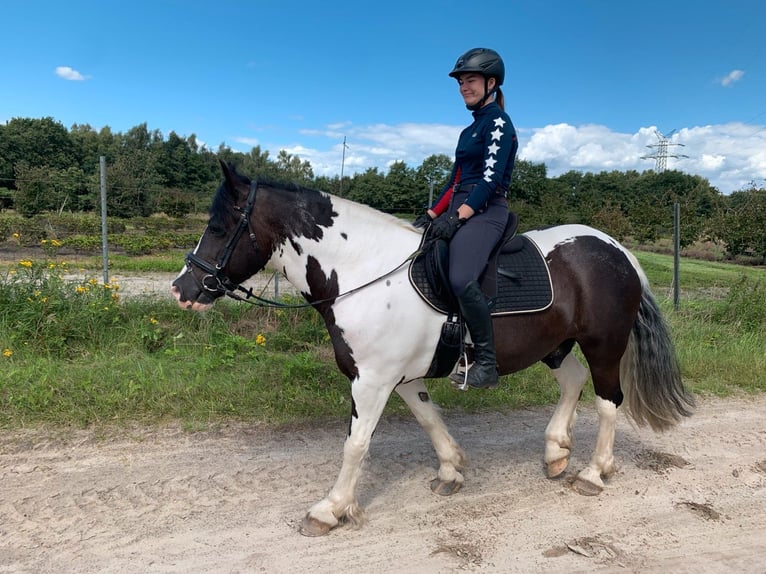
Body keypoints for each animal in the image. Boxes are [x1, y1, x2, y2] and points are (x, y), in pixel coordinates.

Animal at [172, 163, 696, 540]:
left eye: (218, 226)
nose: (182, 289)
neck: (367, 273)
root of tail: (617, 250)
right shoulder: (400, 377)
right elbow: (428, 419)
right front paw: (451, 469)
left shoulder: (372, 381)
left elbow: (355, 444)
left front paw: (330, 509)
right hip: (555, 346)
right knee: (573, 381)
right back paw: (555, 452)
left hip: (604, 344)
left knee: (609, 402)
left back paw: (593, 472)